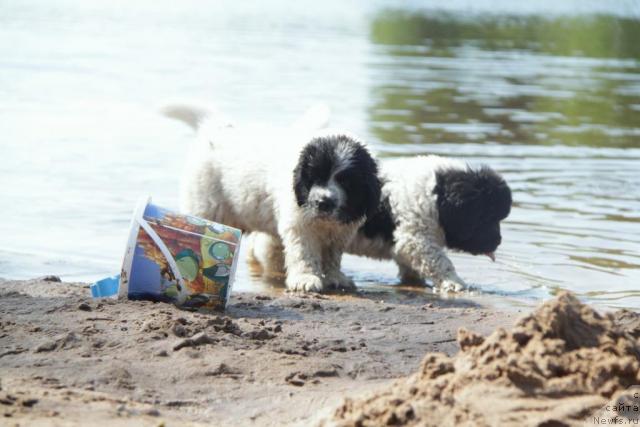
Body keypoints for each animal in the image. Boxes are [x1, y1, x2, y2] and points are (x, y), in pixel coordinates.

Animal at [162, 106, 380, 294]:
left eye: (346, 182)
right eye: (314, 177)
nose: (323, 202)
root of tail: (217, 126)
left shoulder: (340, 230)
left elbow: (332, 255)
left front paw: (335, 277)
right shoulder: (299, 223)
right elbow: (304, 253)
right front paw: (306, 278)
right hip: (206, 204)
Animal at [248, 155, 512, 292]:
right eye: (487, 217)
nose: (499, 241)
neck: (436, 193)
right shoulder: (416, 239)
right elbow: (440, 261)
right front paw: (454, 283)